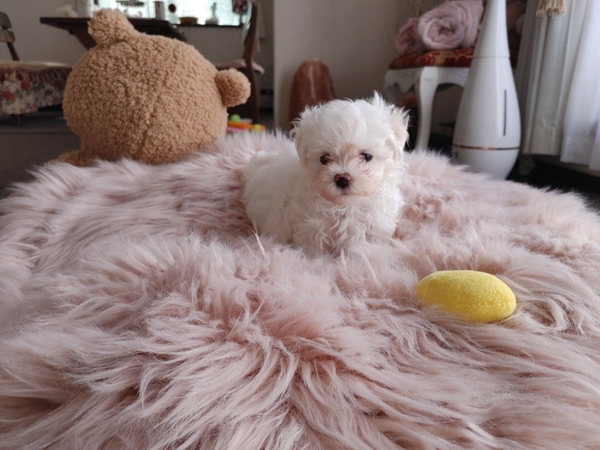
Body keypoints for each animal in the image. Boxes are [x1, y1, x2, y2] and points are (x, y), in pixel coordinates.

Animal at [242, 93, 410, 256]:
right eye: (324, 159)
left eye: (367, 156)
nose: (342, 179)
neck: (345, 207)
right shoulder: (311, 228)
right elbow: (316, 252)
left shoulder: (376, 227)